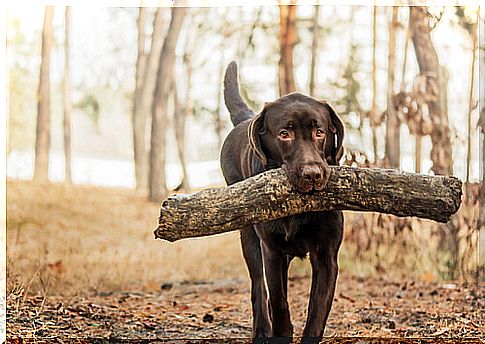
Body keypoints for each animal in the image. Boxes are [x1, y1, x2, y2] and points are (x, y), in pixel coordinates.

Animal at [219, 61, 344, 342]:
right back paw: (262, 329)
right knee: (258, 286)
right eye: (284, 134)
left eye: (320, 132)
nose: (312, 174)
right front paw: (280, 332)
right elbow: (279, 302)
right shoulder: (272, 251)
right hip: (250, 238)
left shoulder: (326, 255)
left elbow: (317, 313)